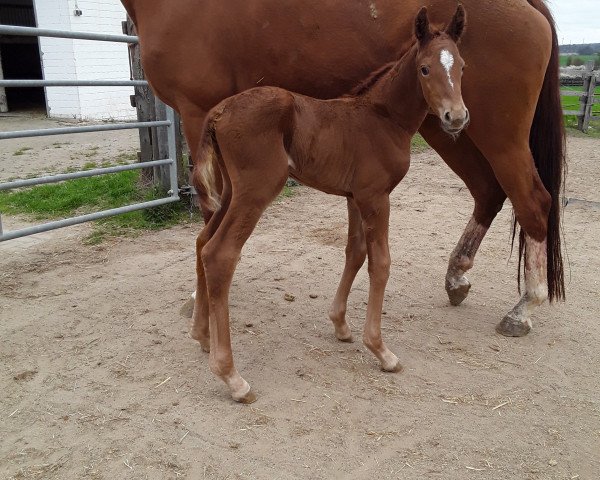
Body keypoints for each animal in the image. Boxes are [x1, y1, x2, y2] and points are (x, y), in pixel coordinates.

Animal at [120, 0, 564, 338]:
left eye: (461, 67)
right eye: (425, 69)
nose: (456, 112)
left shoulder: (196, 111)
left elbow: (210, 216)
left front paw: (200, 298)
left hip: (493, 131)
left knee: (533, 200)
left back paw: (523, 308)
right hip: (448, 130)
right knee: (488, 190)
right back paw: (458, 279)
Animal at [192, 5, 468, 404]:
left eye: (461, 66)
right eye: (425, 69)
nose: (456, 118)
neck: (384, 118)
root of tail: (220, 110)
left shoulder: (354, 197)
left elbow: (355, 253)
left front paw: (341, 325)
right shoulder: (376, 197)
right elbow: (381, 263)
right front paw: (381, 350)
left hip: (231, 191)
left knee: (202, 241)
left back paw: (201, 335)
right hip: (256, 192)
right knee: (219, 253)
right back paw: (233, 378)